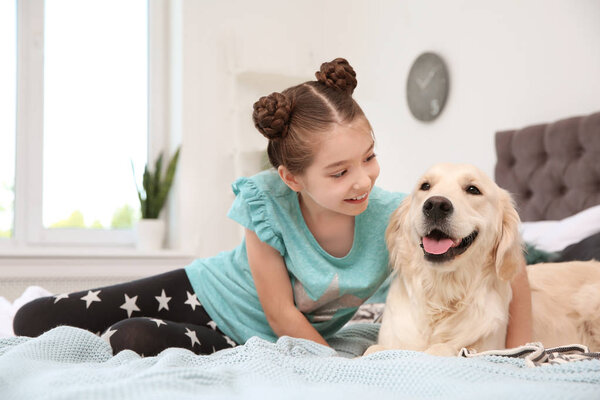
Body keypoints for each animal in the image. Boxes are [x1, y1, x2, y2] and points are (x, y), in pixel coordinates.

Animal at [366, 162, 600, 356]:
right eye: (425, 186)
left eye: (473, 189)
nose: (435, 205)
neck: (442, 293)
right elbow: (374, 350)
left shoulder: (486, 346)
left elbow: (442, 349)